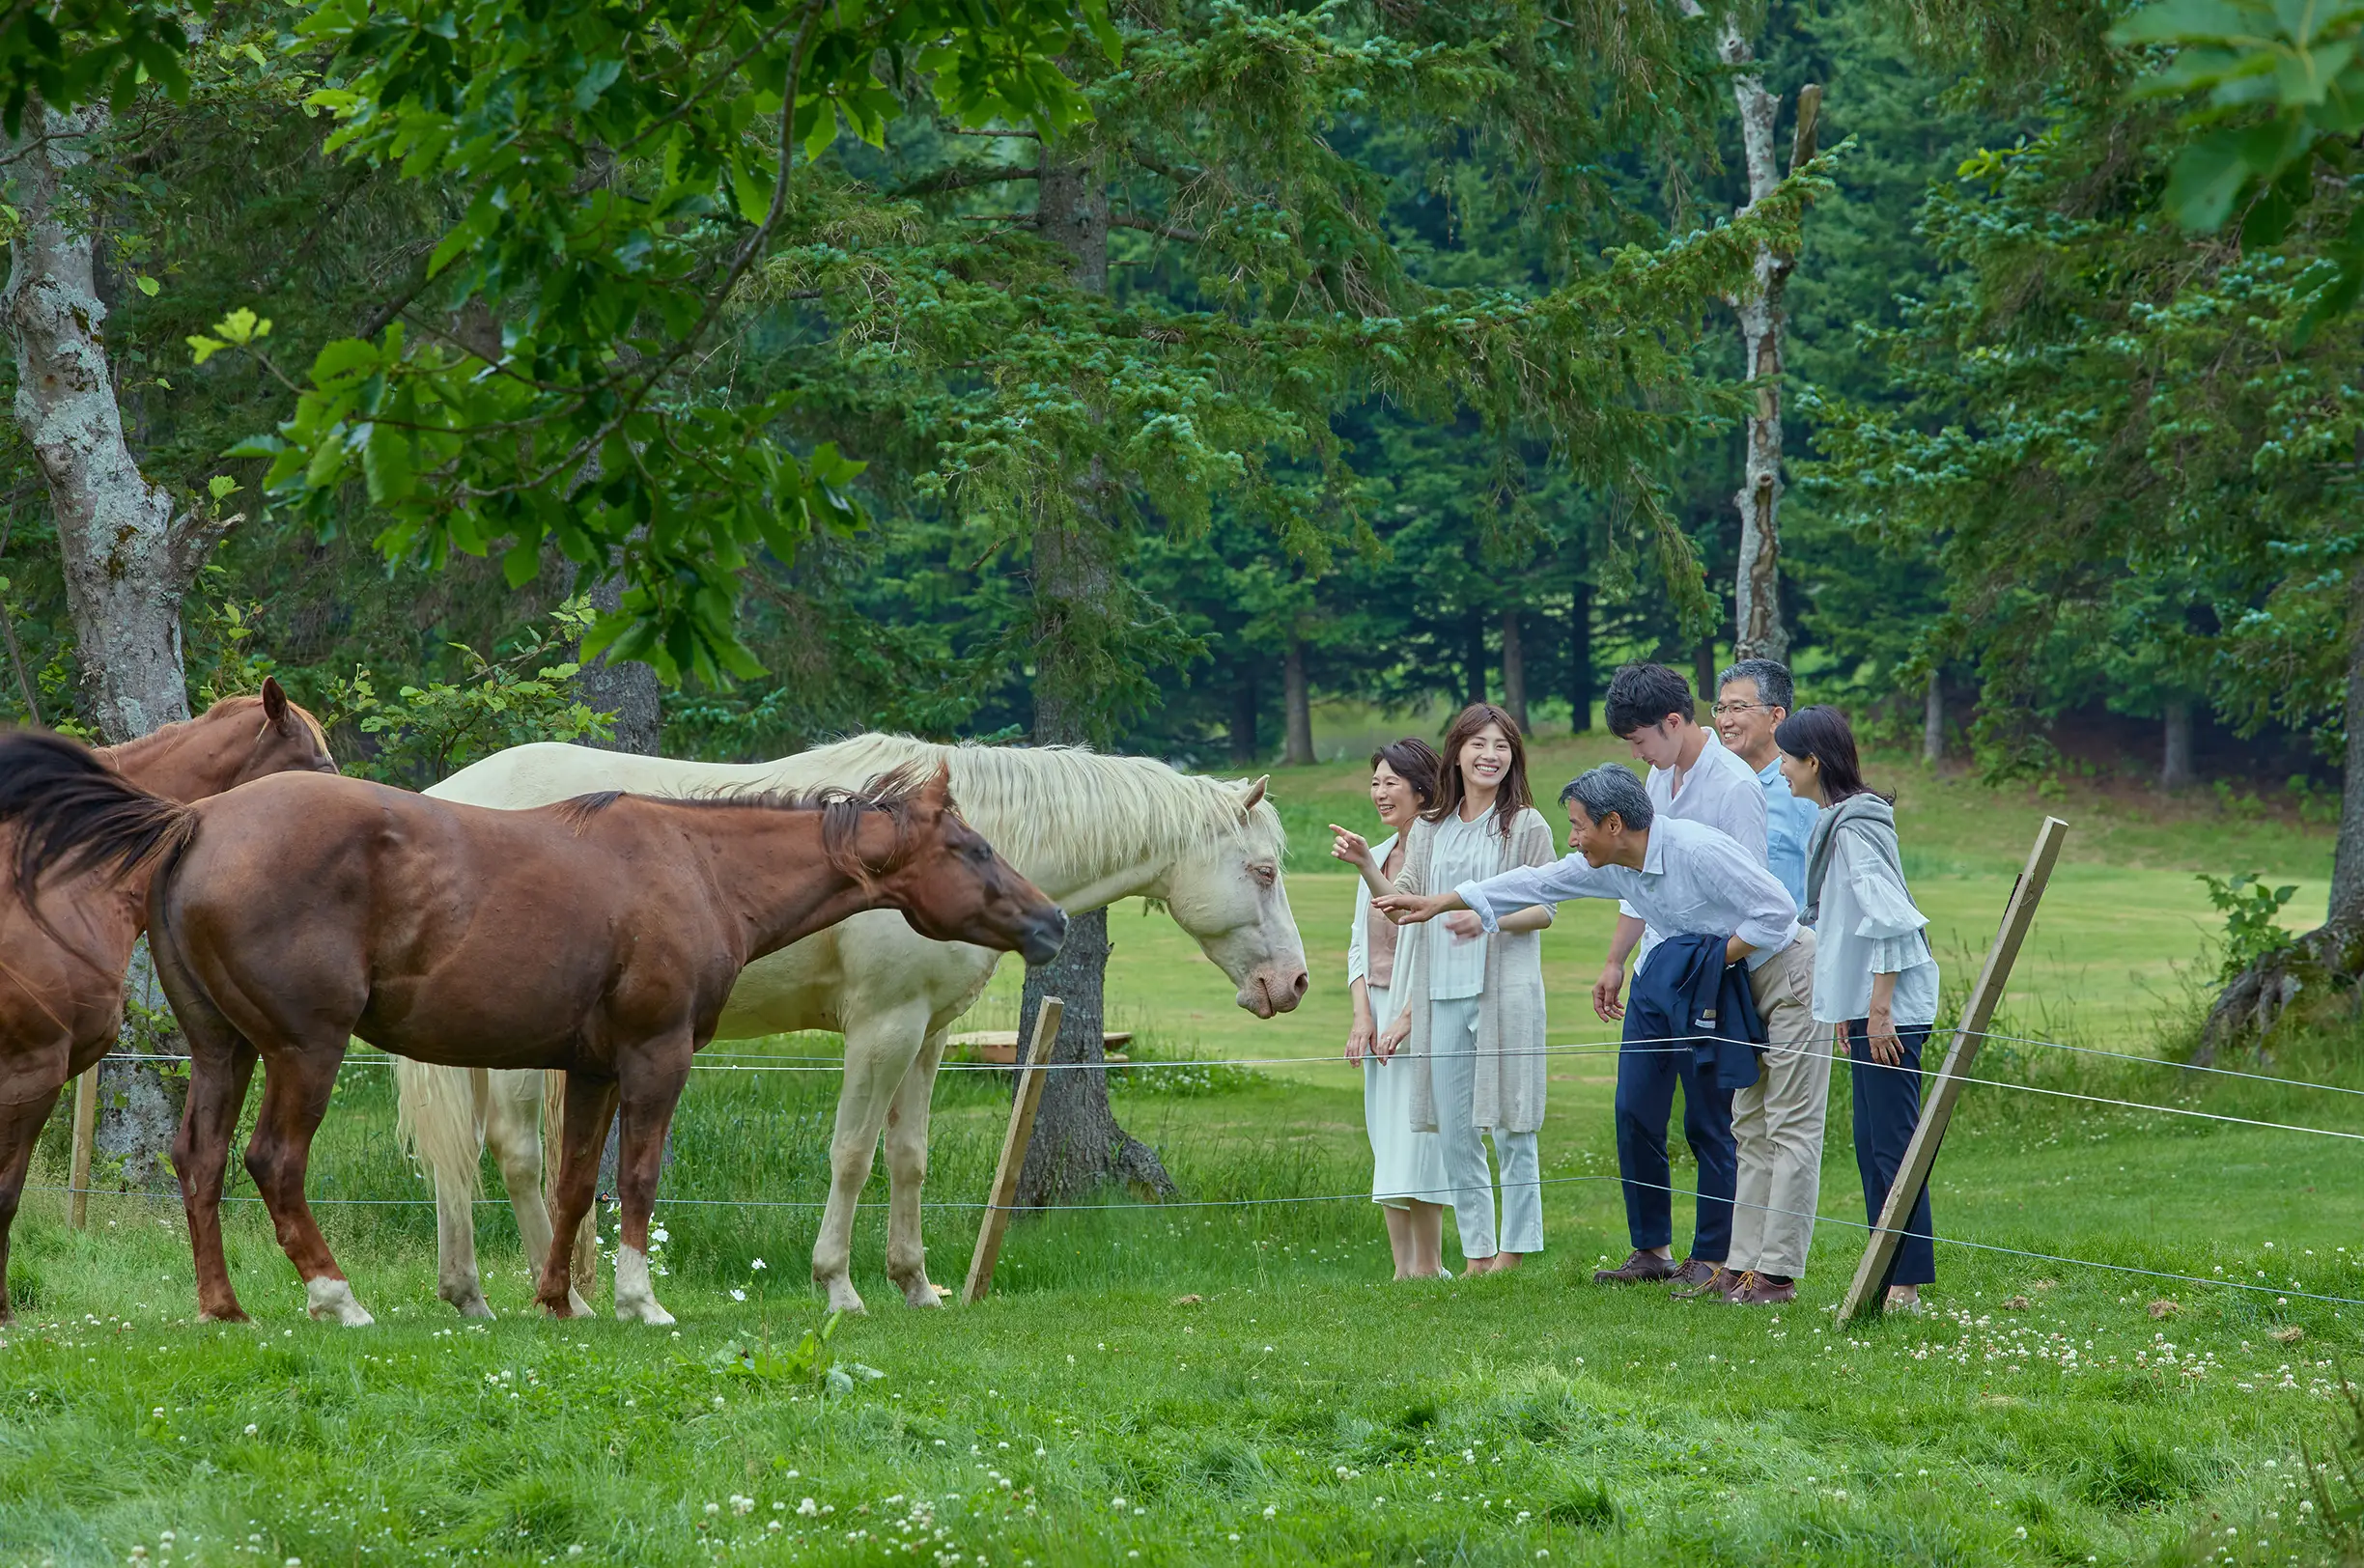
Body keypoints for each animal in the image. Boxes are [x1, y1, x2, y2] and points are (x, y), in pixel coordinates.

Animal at [401, 734, 1308, 1316]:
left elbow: (908, 1159)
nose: (1292, 983)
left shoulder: (927, 1035)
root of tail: (443, 803)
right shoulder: (882, 1030)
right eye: (1263, 871)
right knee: (518, 1153)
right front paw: (838, 1283)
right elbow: (852, 1155)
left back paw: (469, 1293)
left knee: (462, 1163)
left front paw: (916, 1283)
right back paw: (563, 1297)